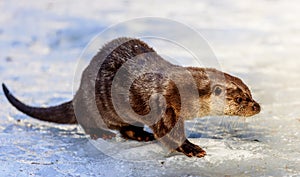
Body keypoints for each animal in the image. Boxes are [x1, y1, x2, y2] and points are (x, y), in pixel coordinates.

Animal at [1, 37, 260, 158]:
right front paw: (191, 148)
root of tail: (80, 87)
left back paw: (140, 135)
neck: (185, 90)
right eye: (240, 99)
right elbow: (168, 131)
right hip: (91, 102)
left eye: (250, 93)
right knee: (88, 119)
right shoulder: (162, 101)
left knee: (124, 128)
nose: (257, 107)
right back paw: (101, 132)